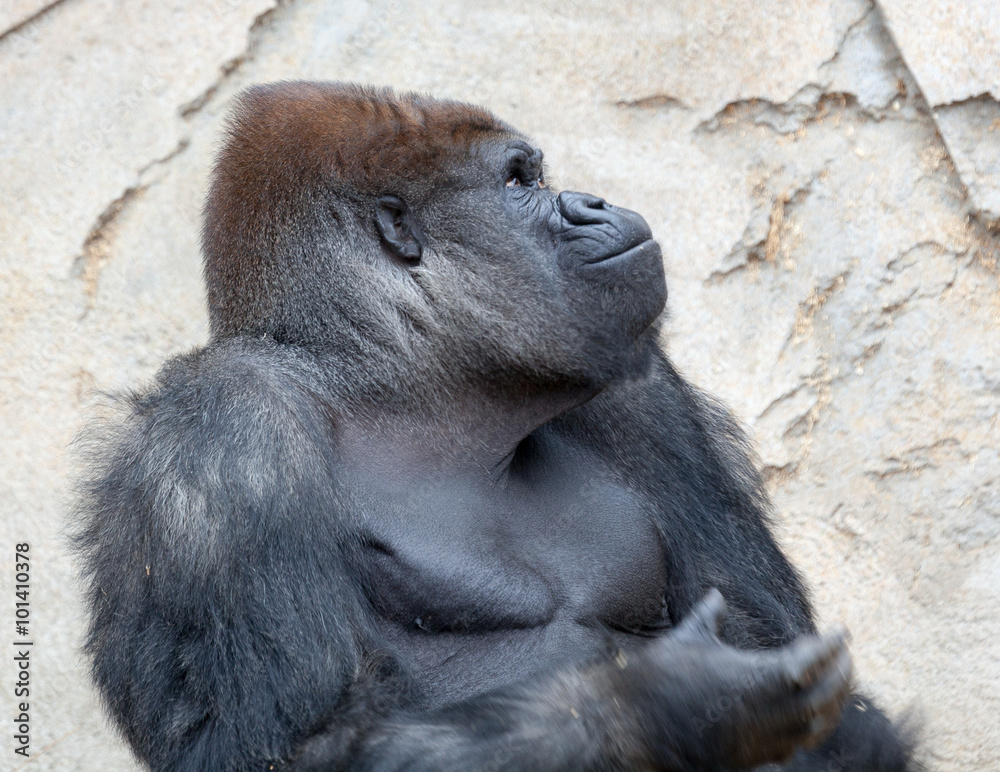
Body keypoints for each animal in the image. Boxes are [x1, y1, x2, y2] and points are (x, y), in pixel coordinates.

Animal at [73, 81, 914, 771]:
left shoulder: (637, 391)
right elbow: (285, 746)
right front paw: (661, 708)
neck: (401, 385)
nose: (594, 202)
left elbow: (790, 661)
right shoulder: (223, 431)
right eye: (518, 182)